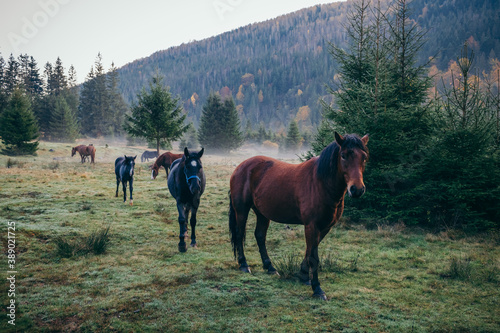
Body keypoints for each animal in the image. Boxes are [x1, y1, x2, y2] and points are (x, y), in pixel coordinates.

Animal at [229, 132, 370, 298]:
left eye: (364, 157)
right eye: (343, 155)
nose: (357, 189)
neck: (320, 183)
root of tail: (241, 166)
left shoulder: (324, 227)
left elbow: (310, 251)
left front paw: (303, 276)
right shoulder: (312, 225)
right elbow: (314, 255)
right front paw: (317, 289)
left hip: (262, 214)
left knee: (260, 235)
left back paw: (270, 267)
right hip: (241, 210)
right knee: (239, 234)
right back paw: (244, 265)